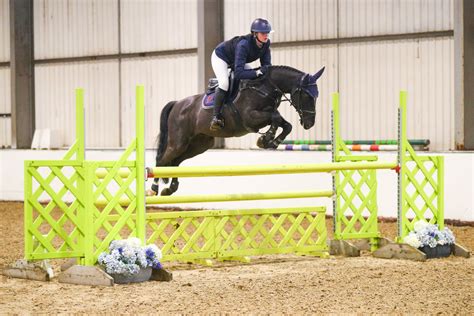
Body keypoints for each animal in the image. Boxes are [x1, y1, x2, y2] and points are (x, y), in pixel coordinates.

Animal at [150, 64, 324, 195]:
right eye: (307, 95)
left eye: (317, 96)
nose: (310, 123)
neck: (264, 87)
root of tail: (177, 104)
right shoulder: (251, 118)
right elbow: (274, 117)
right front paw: (265, 138)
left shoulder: (266, 116)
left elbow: (286, 124)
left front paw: (270, 141)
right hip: (179, 142)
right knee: (162, 160)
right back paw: (154, 188)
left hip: (199, 144)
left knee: (175, 162)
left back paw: (170, 189)